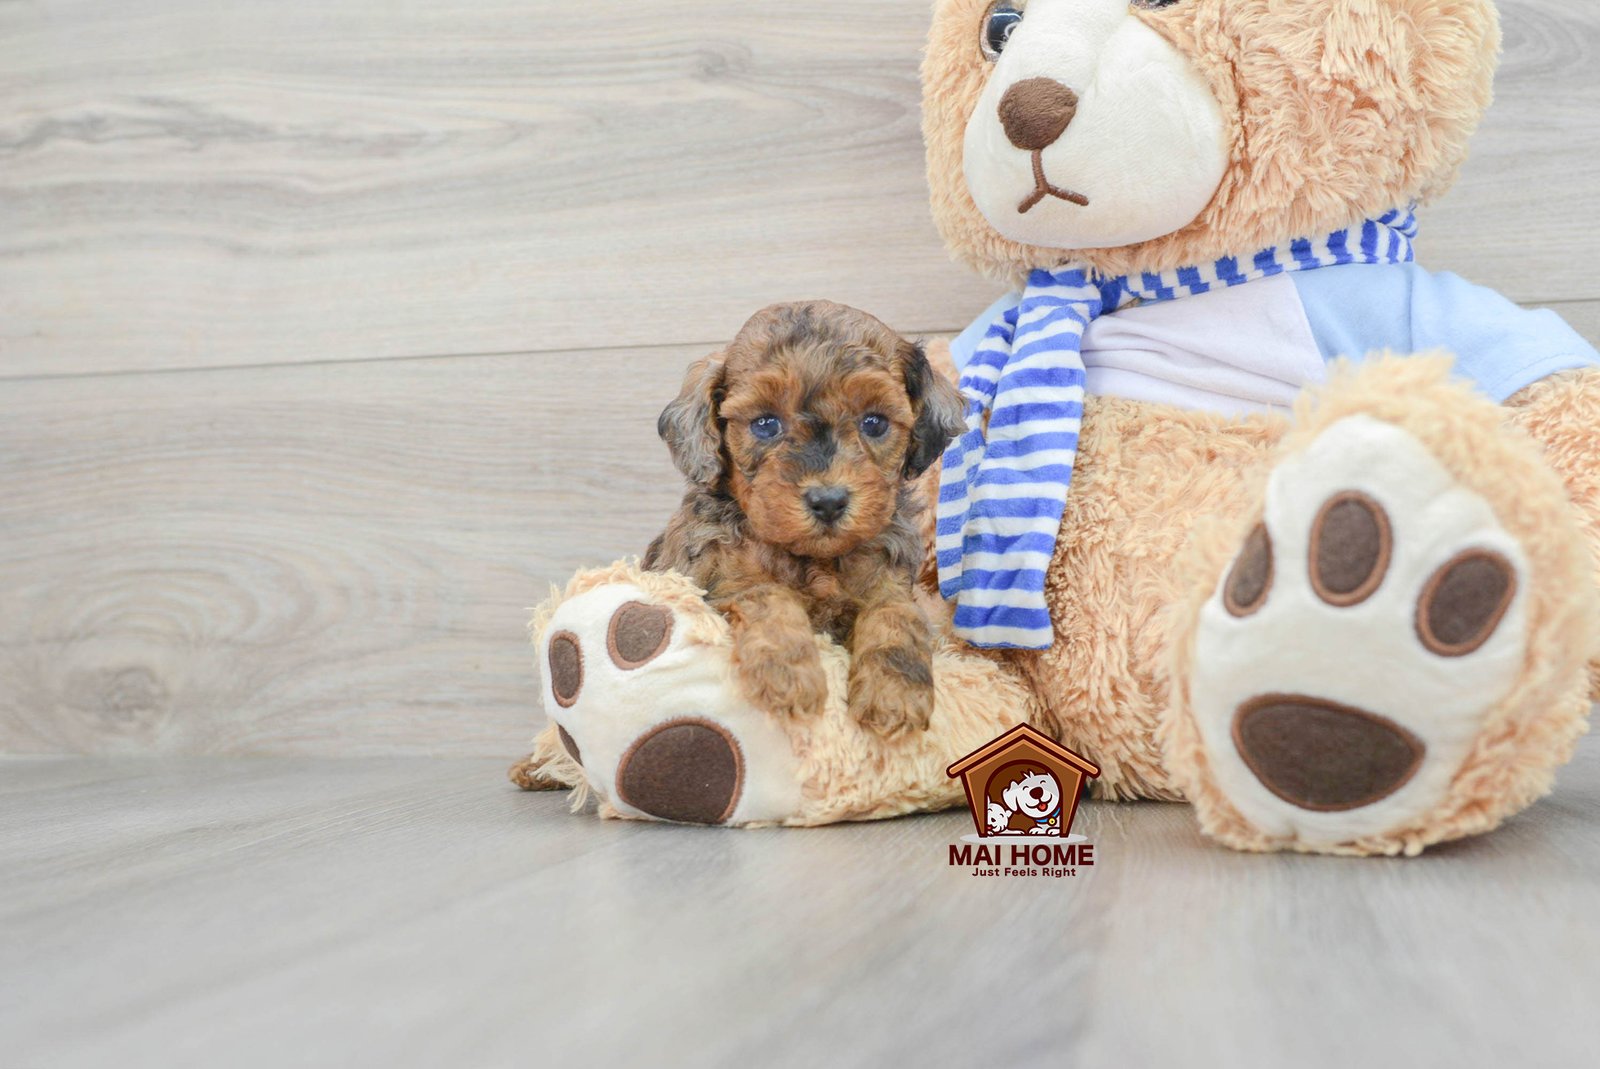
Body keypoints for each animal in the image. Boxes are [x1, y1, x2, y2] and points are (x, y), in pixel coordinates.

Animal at [640, 299, 960, 736]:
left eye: (874, 422)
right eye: (765, 424)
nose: (828, 501)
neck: (814, 558)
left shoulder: (890, 581)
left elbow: (896, 617)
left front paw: (895, 694)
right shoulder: (712, 584)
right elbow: (765, 594)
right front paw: (789, 674)